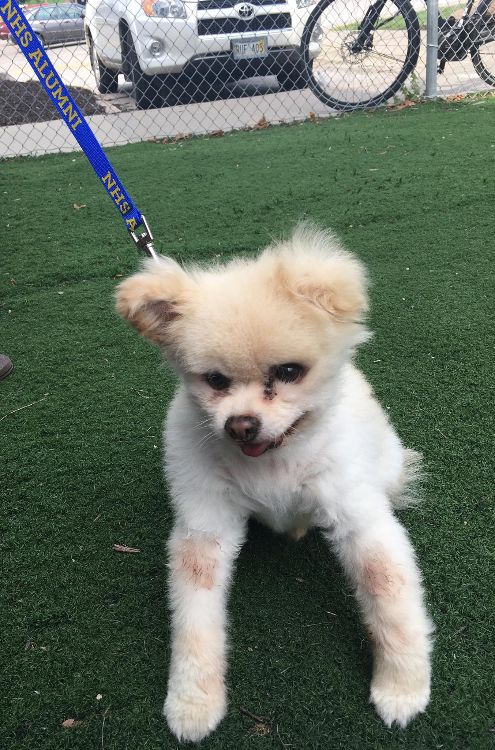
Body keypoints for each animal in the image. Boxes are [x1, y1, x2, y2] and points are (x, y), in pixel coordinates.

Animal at [116, 225, 433, 742]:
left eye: (288, 372)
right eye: (215, 380)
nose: (241, 425)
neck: (273, 465)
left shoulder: (359, 520)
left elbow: (390, 596)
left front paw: (402, 687)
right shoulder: (205, 526)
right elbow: (195, 619)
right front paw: (193, 701)